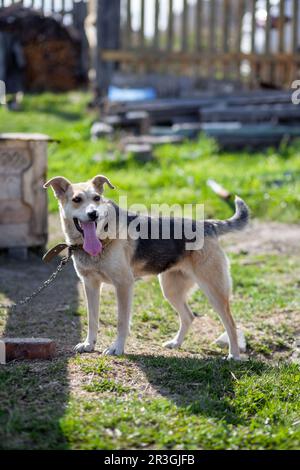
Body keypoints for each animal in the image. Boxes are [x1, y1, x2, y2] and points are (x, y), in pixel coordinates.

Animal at [44, 174, 250, 358]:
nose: (93, 214)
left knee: (231, 323)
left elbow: (122, 322)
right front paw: (89, 344)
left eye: (97, 198)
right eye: (77, 199)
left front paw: (116, 348)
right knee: (189, 316)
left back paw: (234, 355)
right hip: (171, 290)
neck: (101, 238)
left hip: (214, 291)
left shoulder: (124, 285)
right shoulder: (90, 285)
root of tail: (208, 225)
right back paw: (176, 343)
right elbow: (92, 319)